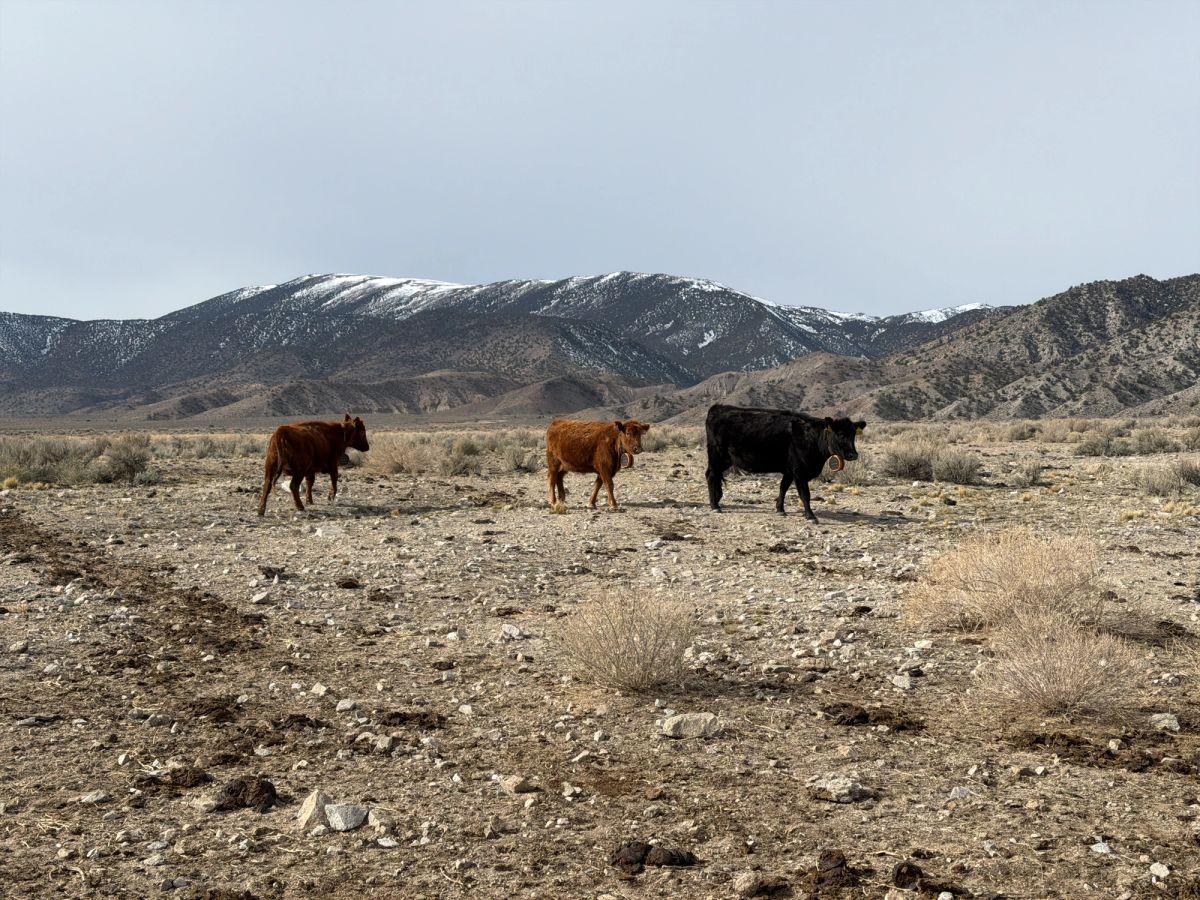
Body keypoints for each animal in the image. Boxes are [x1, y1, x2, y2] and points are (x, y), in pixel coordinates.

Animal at [704, 404, 865, 523]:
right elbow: (805, 494)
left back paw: (716, 500)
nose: (853, 455)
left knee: (714, 476)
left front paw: (780, 509)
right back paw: (714, 505)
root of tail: (718, 408)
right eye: (840, 434)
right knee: (711, 475)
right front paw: (810, 516)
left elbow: (783, 488)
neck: (812, 437)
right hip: (717, 455)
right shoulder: (799, 472)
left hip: (724, 460)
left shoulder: (789, 471)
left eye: (853, 434)